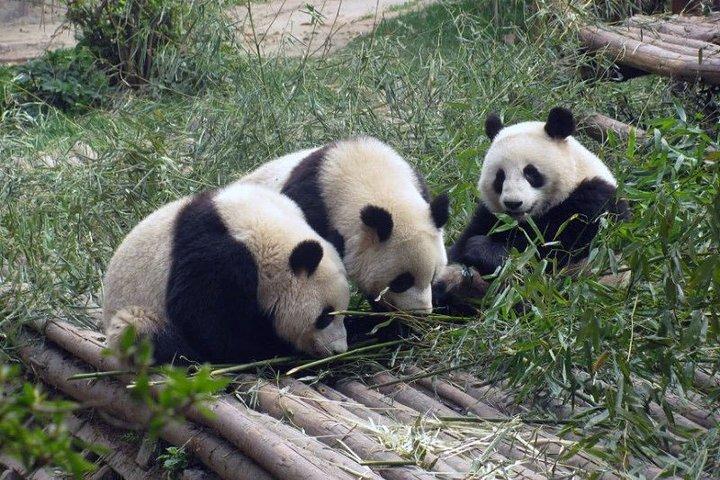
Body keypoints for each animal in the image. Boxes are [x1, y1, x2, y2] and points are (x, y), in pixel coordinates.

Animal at [102, 183, 350, 364]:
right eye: (325, 316)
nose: (338, 350)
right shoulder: (215, 259)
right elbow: (208, 321)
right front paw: (270, 345)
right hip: (138, 313)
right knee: (143, 331)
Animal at [434, 107, 629, 309]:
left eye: (530, 172)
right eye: (500, 177)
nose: (513, 203)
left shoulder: (594, 204)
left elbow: (547, 252)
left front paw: (481, 249)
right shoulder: (490, 214)